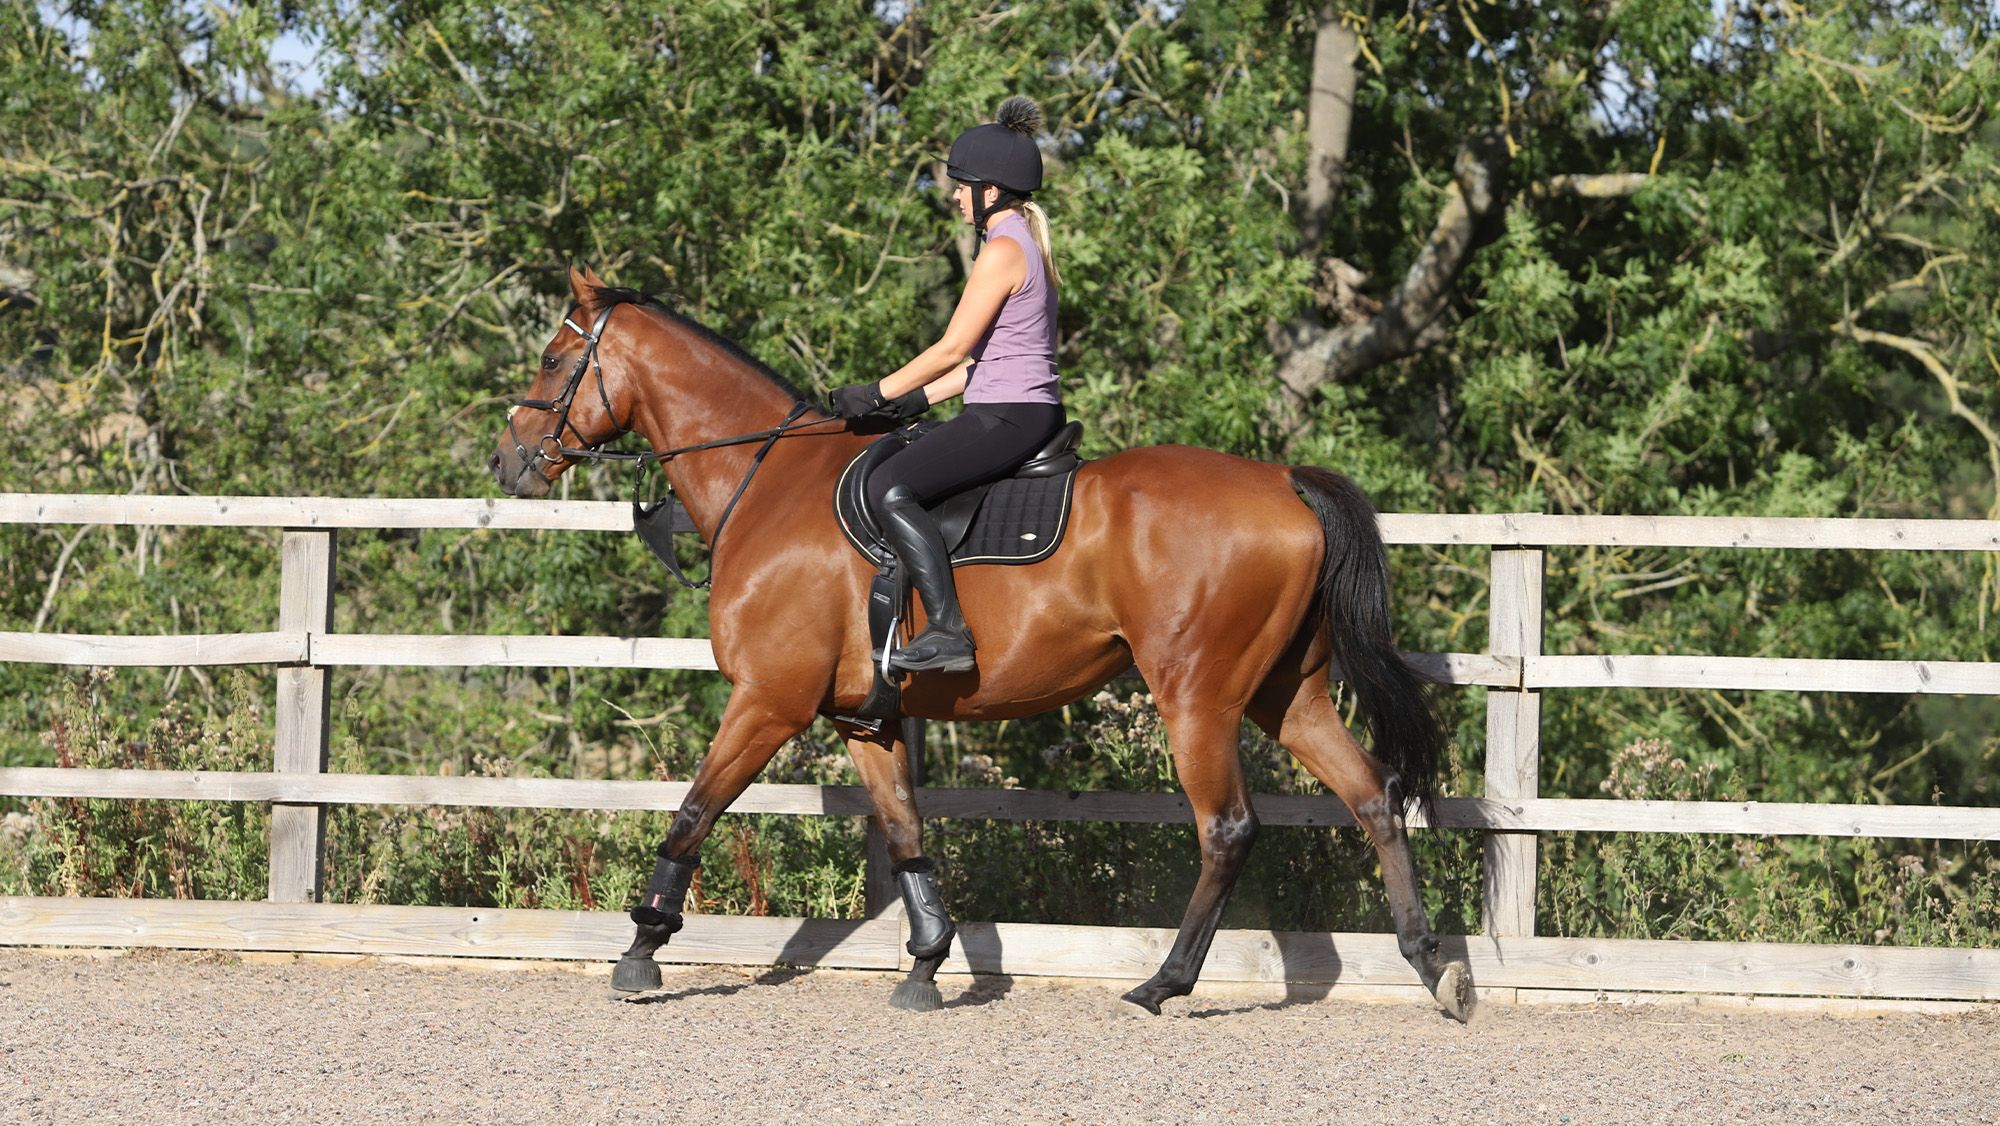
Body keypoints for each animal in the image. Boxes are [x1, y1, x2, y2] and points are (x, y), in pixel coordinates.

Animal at [490, 265, 1473, 1020]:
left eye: (554, 358)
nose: (509, 461)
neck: (766, 481)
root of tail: (1281, 481)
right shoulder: (863, 719)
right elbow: (905, 833)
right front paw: (927, 962)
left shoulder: (768, 700)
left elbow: (695, 810)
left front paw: (641, 949)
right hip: (1286, 694)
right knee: (1374, 797)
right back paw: (1435, 968)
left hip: (1198, 695)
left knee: (1228, 829)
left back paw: (1163, 983)